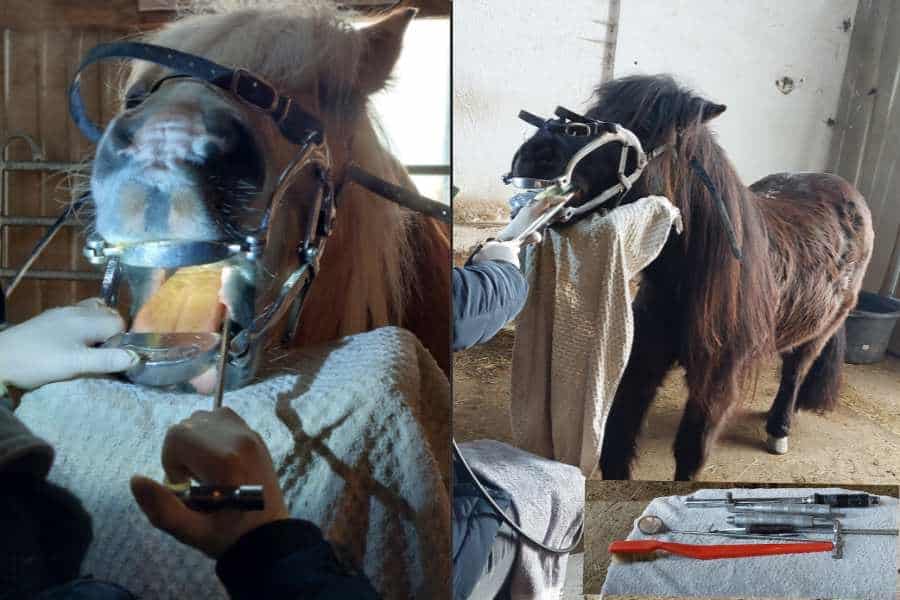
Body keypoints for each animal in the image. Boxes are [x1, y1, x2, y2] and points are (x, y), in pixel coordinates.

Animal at [512, 75, 872, 480]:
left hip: (821, 331)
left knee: (795, 372)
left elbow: (691, 451)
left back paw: (779, 428)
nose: (537, 153)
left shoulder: (716, 381)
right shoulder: (644, 363)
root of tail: (849, 192)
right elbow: (618, 446)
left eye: (646, 126)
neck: (689, 281)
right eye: (597, 111)